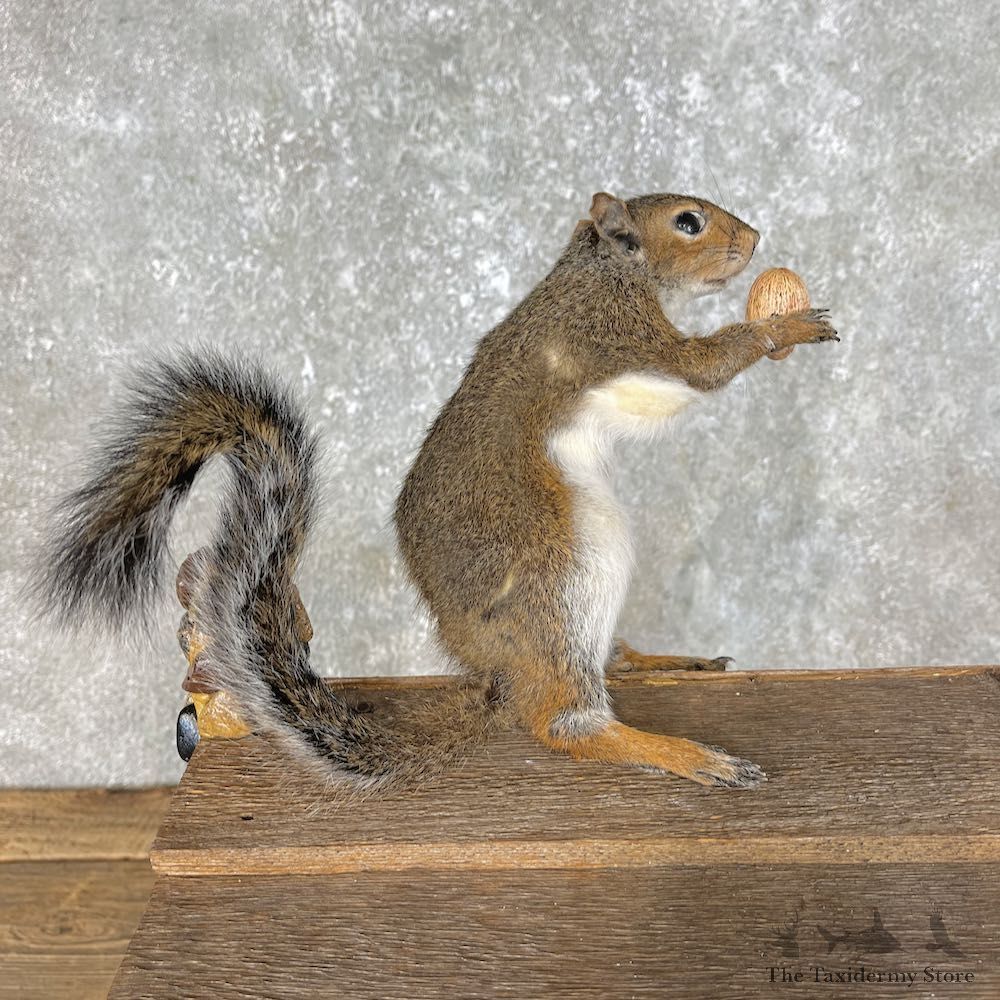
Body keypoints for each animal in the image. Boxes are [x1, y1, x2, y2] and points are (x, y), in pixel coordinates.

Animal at [34, 191, 838, 790]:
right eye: (688, 221)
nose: (754, 237)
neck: (600, 267)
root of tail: (496, 675)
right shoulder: (615, 332)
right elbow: (702, 366)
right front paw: (787, 327)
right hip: (568, 569)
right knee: (563, 725)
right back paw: (684, 755)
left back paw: (658, 661)